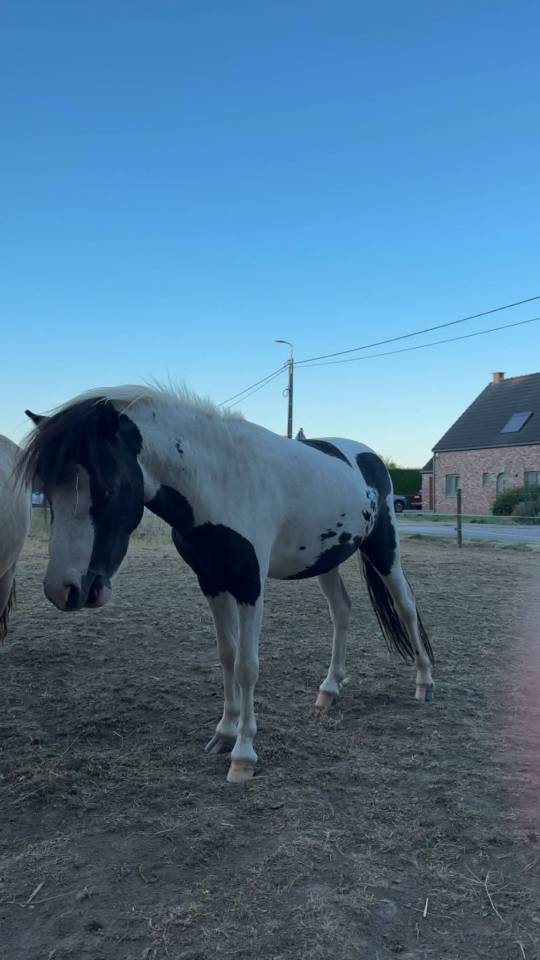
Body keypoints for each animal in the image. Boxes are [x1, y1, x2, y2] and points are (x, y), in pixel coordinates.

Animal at [19, 385, 434, 783]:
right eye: (48, 491)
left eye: (108, 488)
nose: (64, 589)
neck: (221, 480)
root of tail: (369, 457)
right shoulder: (212, 582)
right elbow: (227, 655)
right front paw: (224, 733)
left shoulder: (250, 584)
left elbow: (248, 665)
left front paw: (243, 755)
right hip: (325, 560)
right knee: (342, 612)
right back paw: (329, 690)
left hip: (384, 548)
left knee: (406, 607)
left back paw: (424, 682)